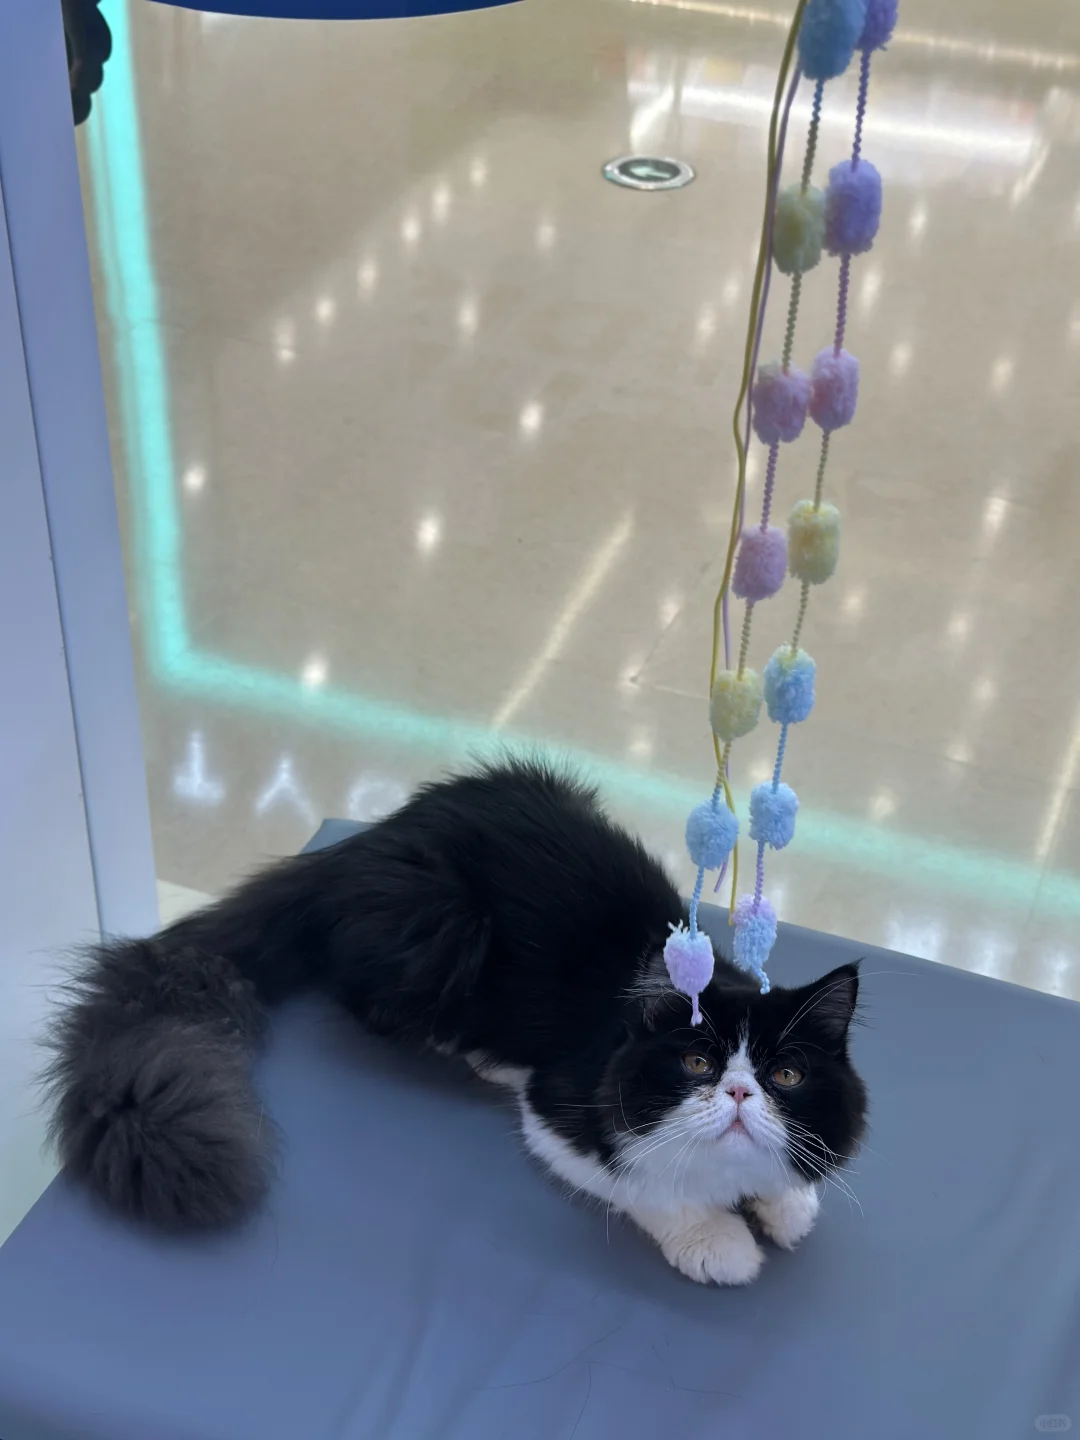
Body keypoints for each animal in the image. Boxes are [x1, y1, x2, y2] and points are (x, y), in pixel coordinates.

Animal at [45, 759, 867, 1285]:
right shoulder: (560, 1113)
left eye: (786, 1075)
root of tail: (354, 847)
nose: (739, 1095)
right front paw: (720, 1243)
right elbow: (651, 1183)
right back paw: (482, 1055)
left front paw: (786, 1203)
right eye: (697, 1062)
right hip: (440, 922)